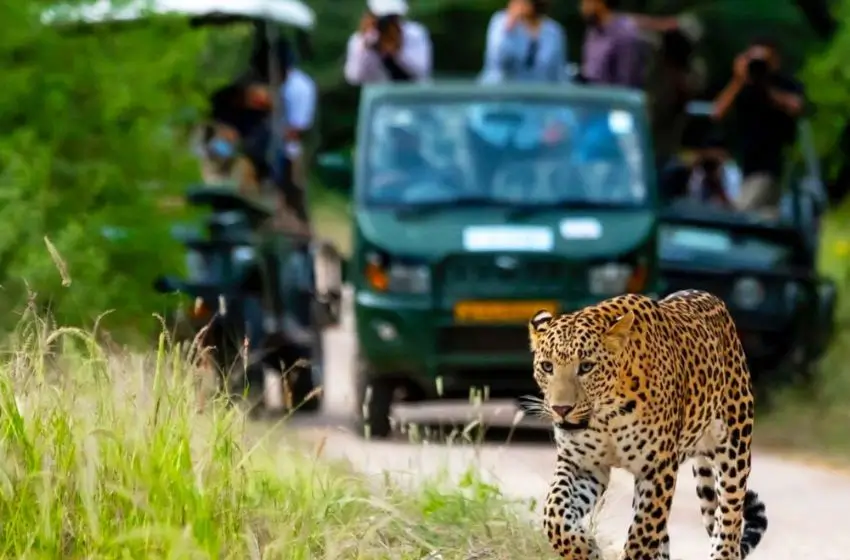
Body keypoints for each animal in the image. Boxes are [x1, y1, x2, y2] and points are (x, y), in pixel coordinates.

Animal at [526, 290, 768, 560]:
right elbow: (554, 515)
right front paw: (586, 548)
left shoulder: (657, 469)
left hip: (734, 452)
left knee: (729, 523)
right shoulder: (582, 464)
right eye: (547, 367)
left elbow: (642, 534)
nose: (561, 409)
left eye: (586, 366)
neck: (607, 417)